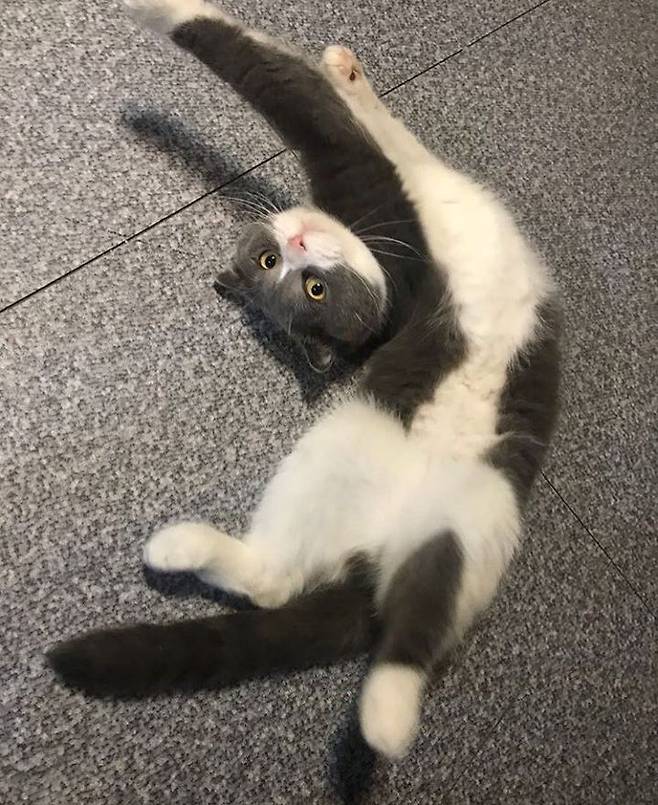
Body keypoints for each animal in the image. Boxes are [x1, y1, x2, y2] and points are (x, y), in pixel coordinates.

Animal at [47, 0, 560, 759]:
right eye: (277, 267)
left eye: (309, 286)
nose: (293, 245)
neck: (388, 281)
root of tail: (367, 562)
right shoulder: (371, 177)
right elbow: (285, 85)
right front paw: (158, 13)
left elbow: (379, 126)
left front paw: (348, 71)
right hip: (376, 481)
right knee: (346, 605)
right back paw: (380, 716)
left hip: (468, 513)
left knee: (379, 594)